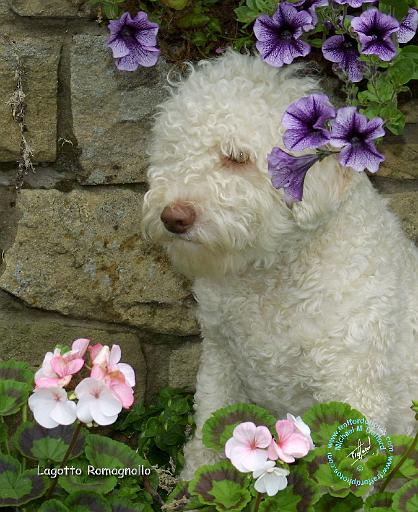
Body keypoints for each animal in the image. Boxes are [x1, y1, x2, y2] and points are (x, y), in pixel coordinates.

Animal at [143, 50, 418, 478]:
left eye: (237, 157)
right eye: (173, 151)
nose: (173, 217)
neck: (273, 274)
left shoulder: (351, 387)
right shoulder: (220, 362)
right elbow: (207, 436)